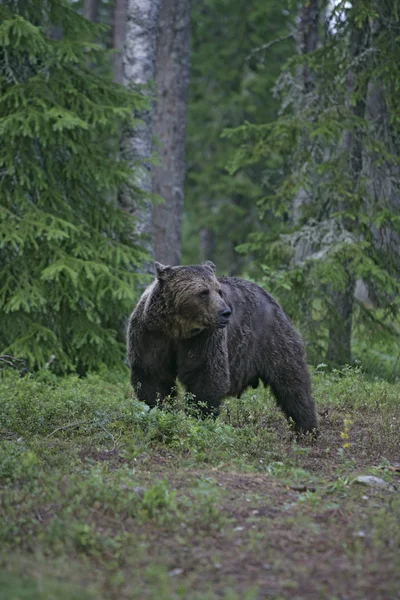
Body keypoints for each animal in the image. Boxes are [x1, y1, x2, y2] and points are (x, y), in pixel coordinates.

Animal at [126, 260, 318, 434]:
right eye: (203, 292)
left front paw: (199, 418)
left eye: (218, 291)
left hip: (272, 338)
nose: (225, 312)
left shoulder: (205, 339)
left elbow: (206, 376)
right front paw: (160, 411)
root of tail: (268, 295)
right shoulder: (152, 335)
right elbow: (153, 376)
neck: (178, 329)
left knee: (292, 384)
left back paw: (307, 428)